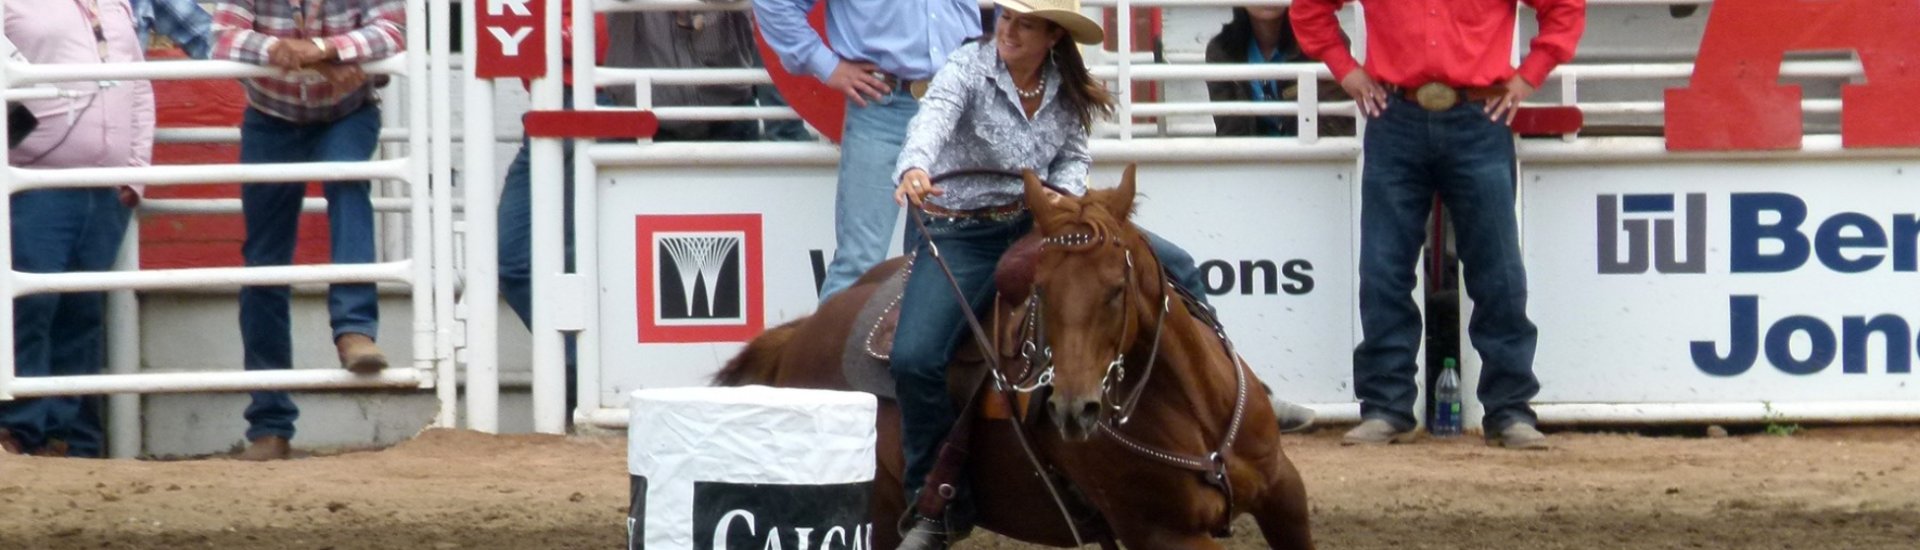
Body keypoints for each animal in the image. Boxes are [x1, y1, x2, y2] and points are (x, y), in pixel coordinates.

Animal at [714, 165, 1313, 546]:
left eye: (1117, 289)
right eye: (1041, 290)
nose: (1073, 410)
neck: (1195, 408)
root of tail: (803, 333)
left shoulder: (1284, 492)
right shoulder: (1164, 534)